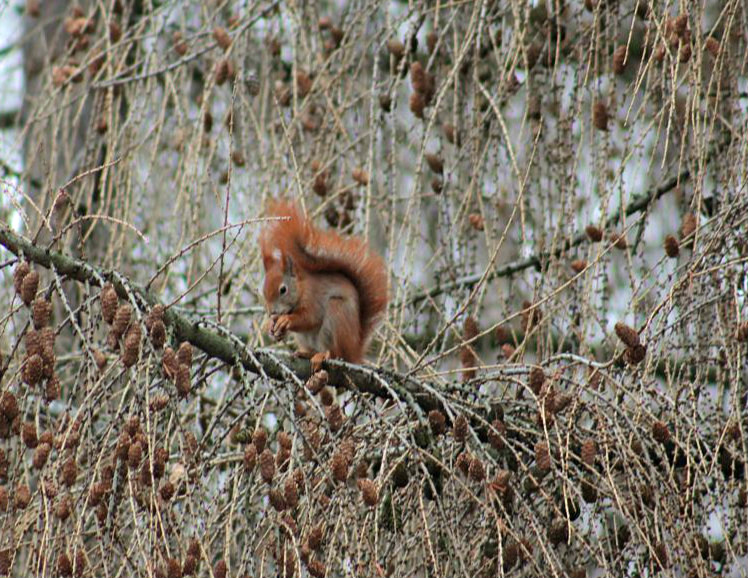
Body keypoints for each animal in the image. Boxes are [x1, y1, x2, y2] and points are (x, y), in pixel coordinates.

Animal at [260, 200, 388, 372]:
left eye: (283, 290)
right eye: (263, 291)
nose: (272, 313)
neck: (301, 288)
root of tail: (354, 352)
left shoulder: (313, 298)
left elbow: (310, 318)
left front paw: (286, 320)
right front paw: (271, 327)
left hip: (336, 315)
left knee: (334, 352)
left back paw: (322, 356)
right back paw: (305, 353)